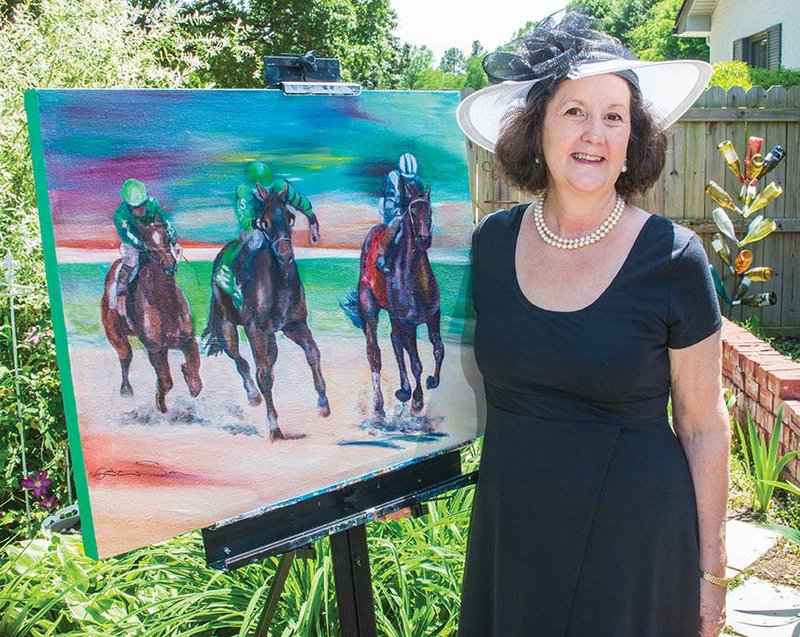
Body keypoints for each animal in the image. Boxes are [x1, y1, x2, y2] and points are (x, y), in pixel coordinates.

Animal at [101, 222, 203, 412]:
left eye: (166, 238)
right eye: (149, 246)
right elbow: (166, 382)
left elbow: (194, 372)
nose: (170, 265)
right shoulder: (155, 348)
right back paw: (126, 390)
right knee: (125, 357)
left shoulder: (187, 340)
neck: (165, 303)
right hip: (115, 334)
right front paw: (161, 405)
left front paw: (188, 376)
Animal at [202, 184, 330, 440]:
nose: (286, 255)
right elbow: (264, 374)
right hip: (227, 325)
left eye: (290, 218)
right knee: (240, 361)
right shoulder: (255, 330)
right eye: (265, 222)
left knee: (268, 359)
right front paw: (274, 427)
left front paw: (323, 403)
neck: (279, 282)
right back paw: (253, 396)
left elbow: (313, 353)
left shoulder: (295, 325)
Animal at [340, 180, 444, 418]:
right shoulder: (409, 323)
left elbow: (438, 350)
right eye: (412, 212)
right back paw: (379, 404)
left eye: (430, 211)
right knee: (374, 353)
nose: (424, 239)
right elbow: (416, 363)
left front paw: (432, 381)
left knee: (395, 341)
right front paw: (417, 399)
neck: (416, 282)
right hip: (370, 308)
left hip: (396, 317)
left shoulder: (433, 316)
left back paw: (404, 390)